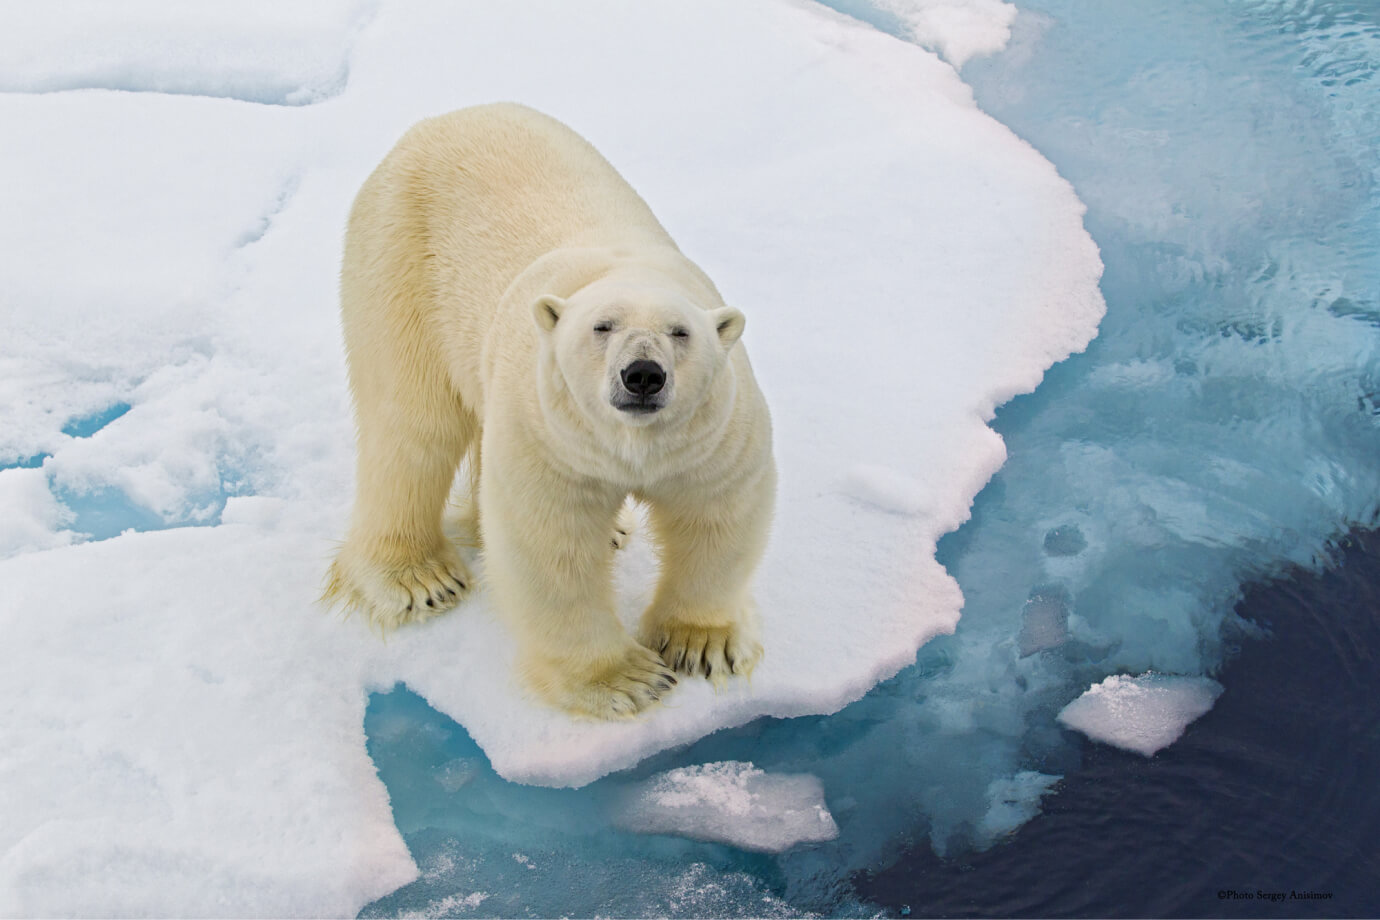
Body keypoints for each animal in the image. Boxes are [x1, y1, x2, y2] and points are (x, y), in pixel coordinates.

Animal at [324, 106, 778, 717]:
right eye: (601, 326)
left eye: (680, 332)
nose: (642, 375)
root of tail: (443, 118)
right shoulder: (550, 434)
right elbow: (550, 544)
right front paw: (627, 680)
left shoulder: (714, 437)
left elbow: (718, 516)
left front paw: (701, 646)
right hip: (400, 260)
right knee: (412, 425)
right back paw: (419, 580)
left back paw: (610, 532)